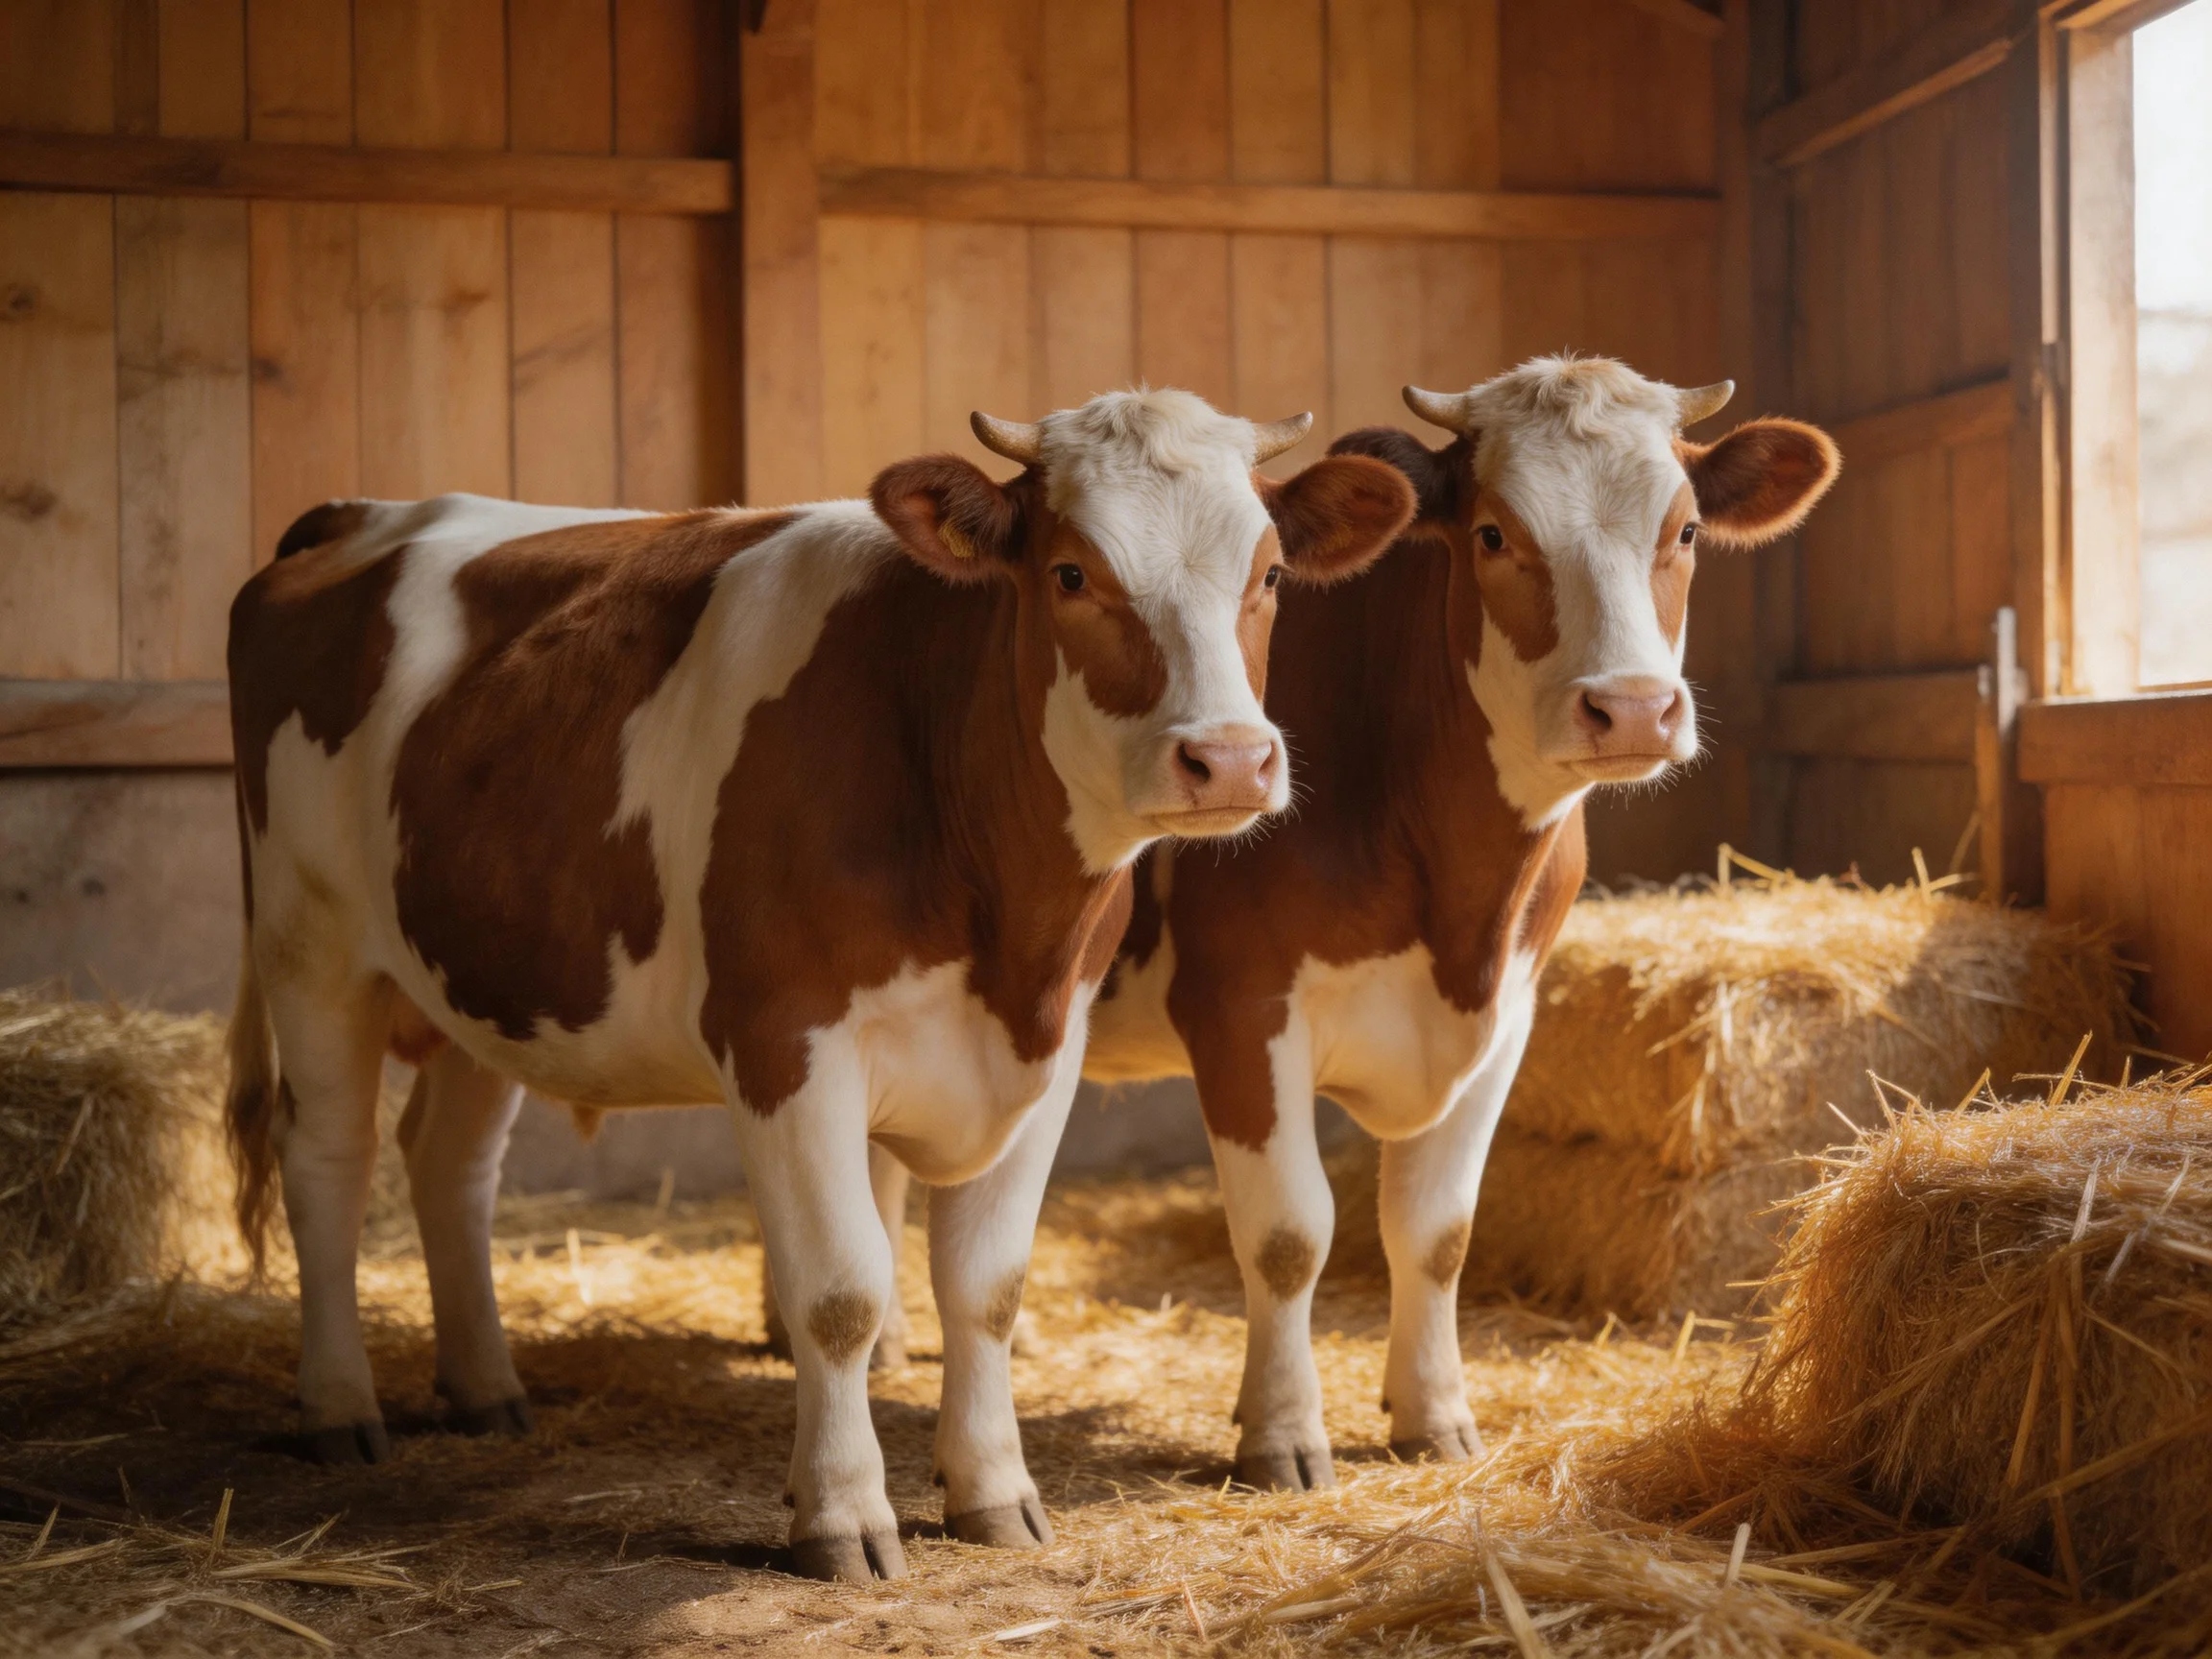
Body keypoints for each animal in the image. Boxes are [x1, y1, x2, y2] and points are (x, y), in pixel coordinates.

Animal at [222, 388, 1417, 1581]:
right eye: (1072, 573)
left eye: (1270, 575)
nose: (1231, 760)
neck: (1002, 920)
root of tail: (365, 515)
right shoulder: (786, 1042)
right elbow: (841, 1292)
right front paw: (842, 1515)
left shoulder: (1051, 1050)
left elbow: (987, 1288)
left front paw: (994, 1493)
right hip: (310, 945)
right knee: (327, 1160)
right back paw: (339, 1407)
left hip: (488, 974)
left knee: (449, 1164)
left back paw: (485, 1390)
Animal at [844, 357, 1841, 1483]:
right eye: (1492, 533)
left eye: (1685, 531)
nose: (1631, 707)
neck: (1456, 891)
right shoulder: (1240, 1005)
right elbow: (1290, 1234)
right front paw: (1282, 1435)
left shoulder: (1509, 1014)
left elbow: (1438, 1231)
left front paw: (1434, 1416)